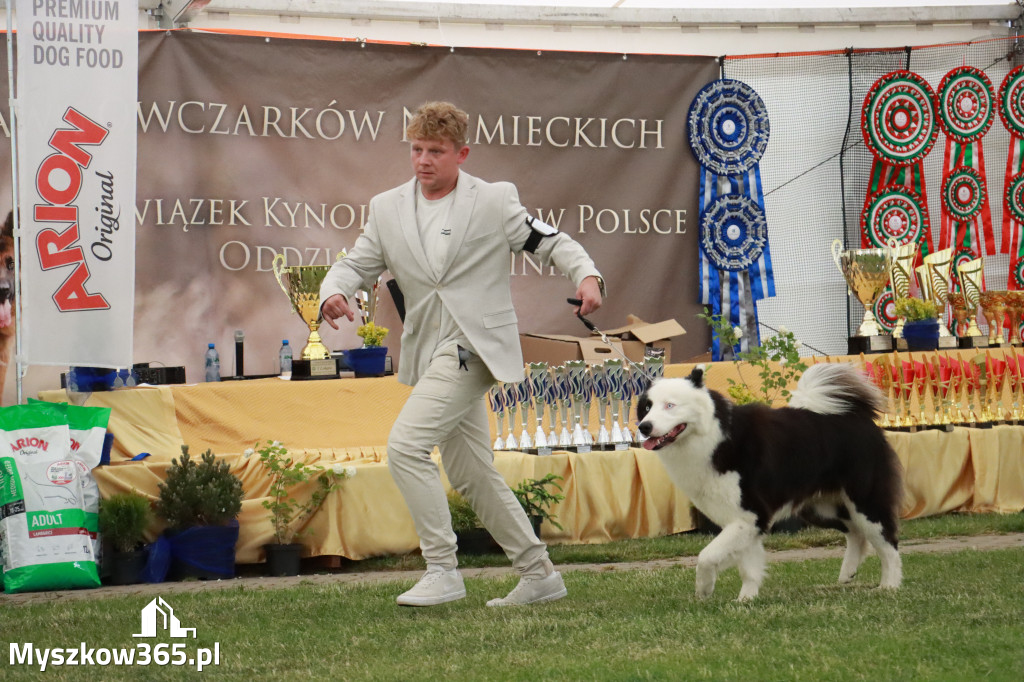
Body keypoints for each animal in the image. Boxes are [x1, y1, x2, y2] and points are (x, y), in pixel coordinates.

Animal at [638, 364, 905, 598]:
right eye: (647, 407)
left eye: (670, 405)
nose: (643, 427)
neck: (714, 436)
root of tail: (855, 414)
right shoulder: (744, 520)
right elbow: (748, 566)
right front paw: (746, 599)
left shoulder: (752, 513)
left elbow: (707, 556)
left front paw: (705, 589)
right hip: (822, 507)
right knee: (856, 533)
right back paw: (848, 573)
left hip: (864, 500)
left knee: (888, 542)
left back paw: (889, 585)